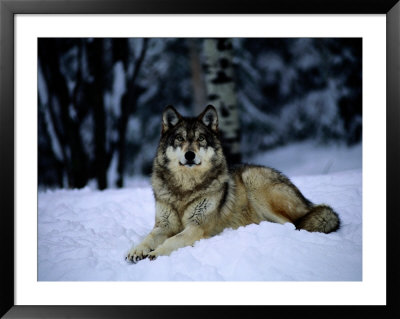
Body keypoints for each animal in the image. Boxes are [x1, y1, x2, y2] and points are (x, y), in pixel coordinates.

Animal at [126, 106, 340, 264]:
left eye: (200, 139)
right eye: (180, 138)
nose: (190, 155)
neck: (185, 187)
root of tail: (307, 202)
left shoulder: (197, 227)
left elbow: (173, 239)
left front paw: (156, 253)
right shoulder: (163, 225)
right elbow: (148, 237)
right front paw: (136, 250)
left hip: (254, 180)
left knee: (292, 224)